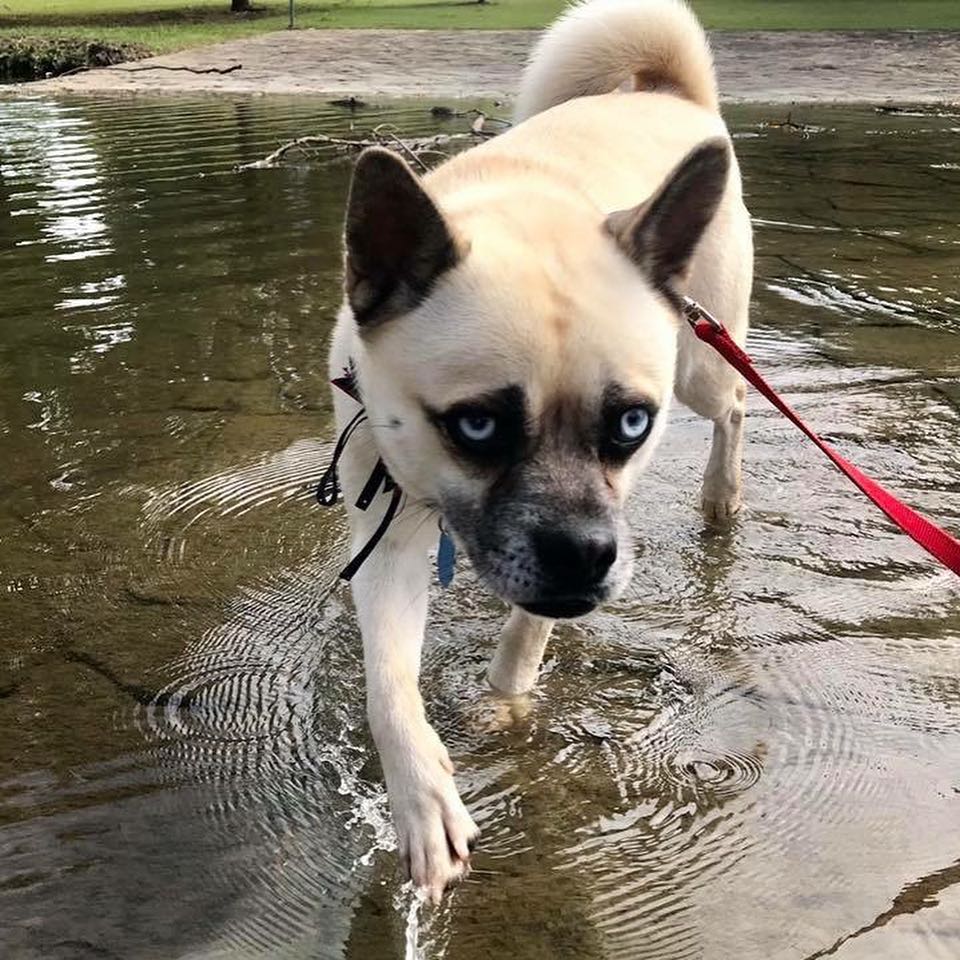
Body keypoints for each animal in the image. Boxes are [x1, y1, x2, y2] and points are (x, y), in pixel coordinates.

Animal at [326, 0, 752, 900]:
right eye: (477, 427)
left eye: (631, 423)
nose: (588, 560)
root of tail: (669, 93)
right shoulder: (389, 532)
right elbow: (389, 685)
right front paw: (422, 799)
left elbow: (525, 635)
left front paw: (505, 699)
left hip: (700, 356)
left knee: (734, 404)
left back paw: (721, 496)